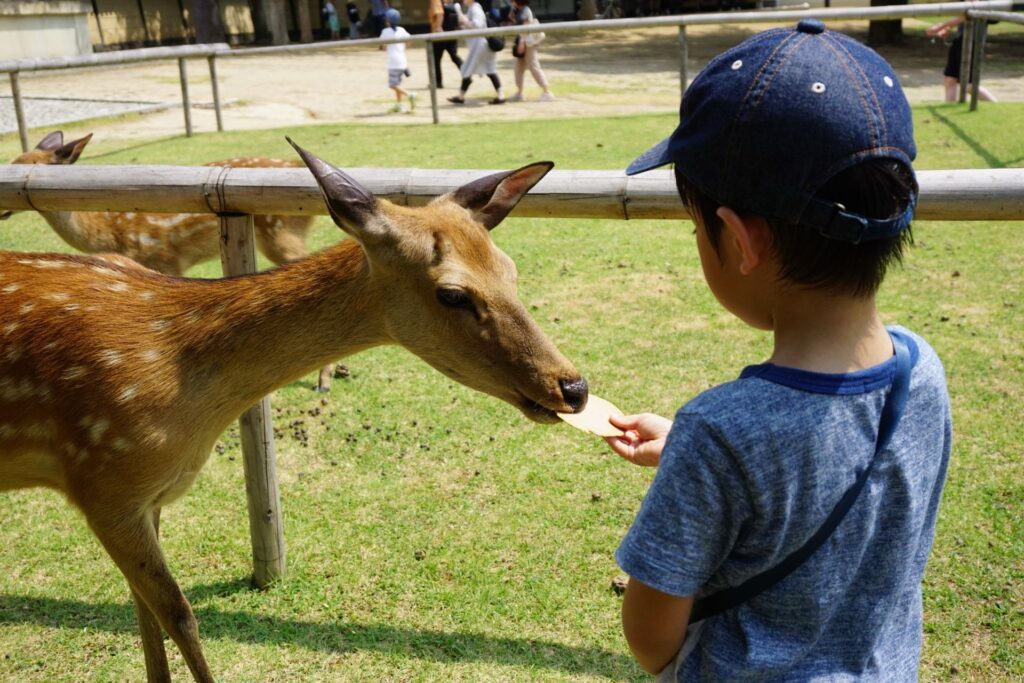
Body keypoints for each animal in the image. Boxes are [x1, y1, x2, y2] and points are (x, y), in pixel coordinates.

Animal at [0, 131, 342, 393]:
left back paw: (324, 380)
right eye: (13, 162)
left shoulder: (165, 259)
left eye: (28, 166)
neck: (111, 233)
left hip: (280, 233)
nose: (3, 209)